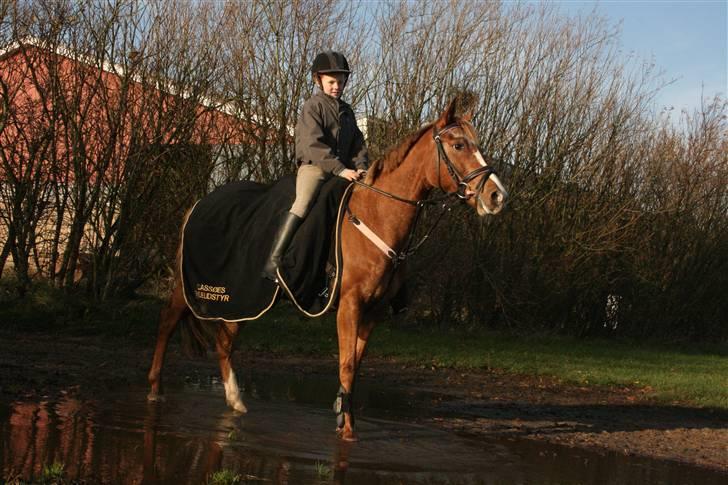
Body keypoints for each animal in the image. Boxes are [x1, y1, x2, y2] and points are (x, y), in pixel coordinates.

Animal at [146, 96, 508, 442]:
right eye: (459, 145)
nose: (497, 195)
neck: (377, 213)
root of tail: (201, 202)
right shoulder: (349, 305)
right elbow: (346, 364)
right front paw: (346, 430)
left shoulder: (372, 311)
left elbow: (356, 366)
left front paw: (344, 416)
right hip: (197, 289)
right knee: (167, 322)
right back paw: (155, 390)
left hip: (243, 298)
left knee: (224, 341)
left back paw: (236, 402)